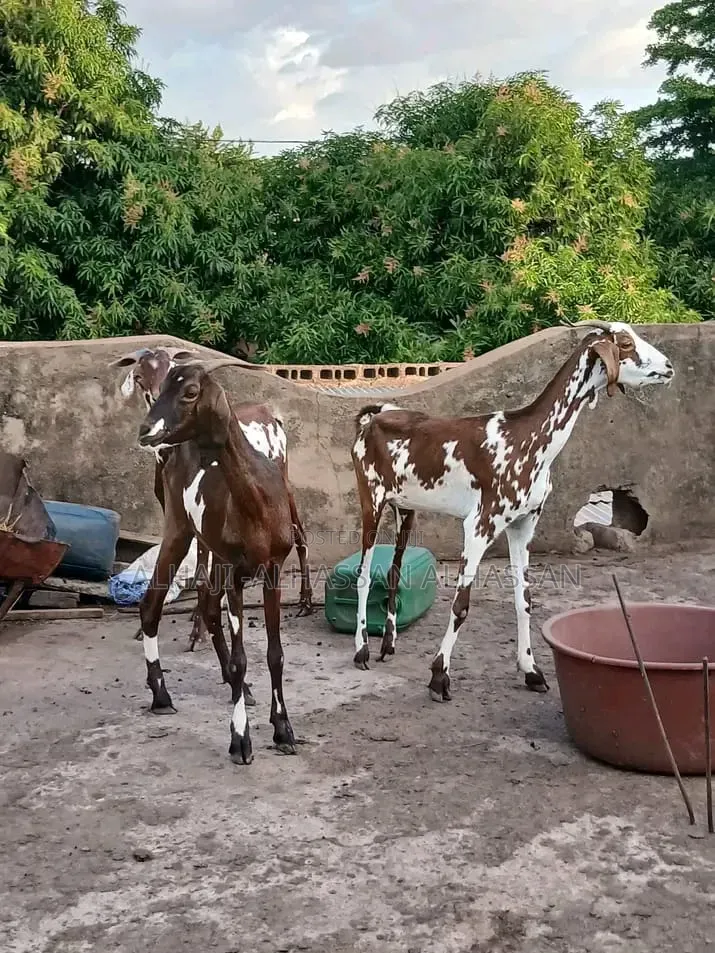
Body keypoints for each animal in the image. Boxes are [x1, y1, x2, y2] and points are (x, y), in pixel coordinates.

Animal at [110, 346, 314, 654]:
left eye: (171, 367)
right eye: (139, 377)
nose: (151, 429)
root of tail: (269, 414)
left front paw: (198, 631)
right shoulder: (182, 513)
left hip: (285, 479)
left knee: (299, 533)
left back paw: (305, 602)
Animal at [135, 358, 298, 764]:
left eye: (190, 391)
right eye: (161, 386)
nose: (146, 430)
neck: (257, 503)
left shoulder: (272, 570)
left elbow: (275, 654)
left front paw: (283, 730)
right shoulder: (236, 572)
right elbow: (242, 657)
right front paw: (240, 740)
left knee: (208, 608)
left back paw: (240, 689)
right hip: (179, 529)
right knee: (151, 604)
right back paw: (161, 695)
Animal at [350, 320, 675, 701]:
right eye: (624, 343)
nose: (668, 367)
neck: (528, 437)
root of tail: (374, 417)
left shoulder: (524, 525)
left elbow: (525, 599)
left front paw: (531, 670)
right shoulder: (479, 526)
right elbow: (461, 605)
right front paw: (439, 676)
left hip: (405, 509)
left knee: (393, 571)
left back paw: (387, 644)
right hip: (371, 500)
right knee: (362, 575)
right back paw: (361, 650)